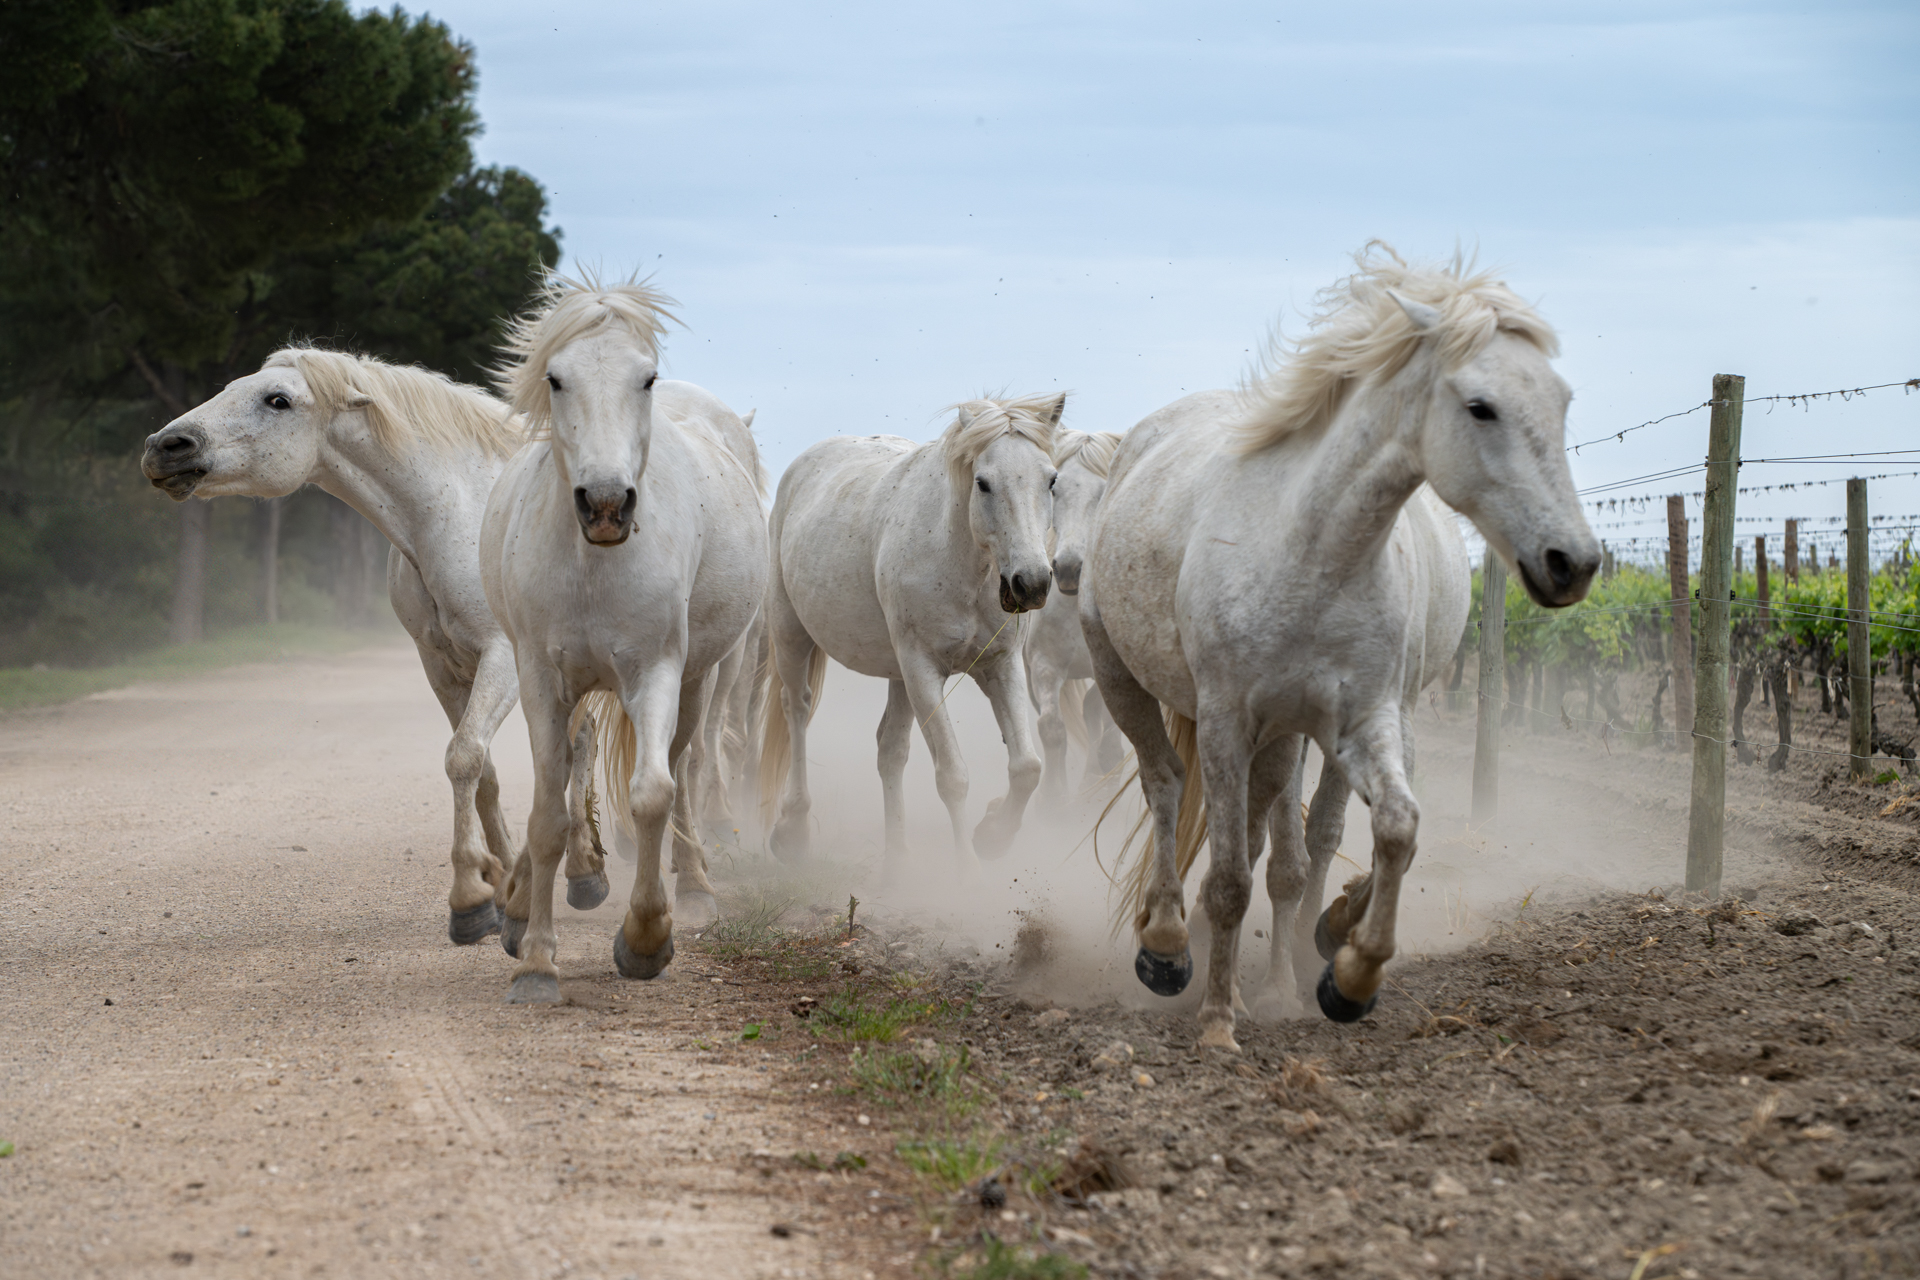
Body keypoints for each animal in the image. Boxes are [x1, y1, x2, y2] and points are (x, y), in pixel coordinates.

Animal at [138, 346, 604, 946]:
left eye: (277, 400)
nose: (164, 447)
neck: (457, 515)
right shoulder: (441, 667)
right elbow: (482, 772)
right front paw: (501, 892)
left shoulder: (502, 656)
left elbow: (464, 757)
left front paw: (471, 901)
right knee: (579, 745)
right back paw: (581, 874)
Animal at [482, 274, 767, 1003]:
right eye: (555, 378)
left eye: (647, 378)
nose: (607, 504)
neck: (593, 565)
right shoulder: (541, 681)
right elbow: (548, 816)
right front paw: (535, 959)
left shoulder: (656, 672)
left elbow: (652, 795)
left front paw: (644, 940)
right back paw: (520, 906)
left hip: (697, 680)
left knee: (686, 769)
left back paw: (693, 888)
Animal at [757, 395, 1063, 875]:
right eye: (983, 483)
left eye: (1051, 480)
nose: (1031, 583)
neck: (961, 564)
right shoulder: (923, 671)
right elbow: (953, 776)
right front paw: (969, 872)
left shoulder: (1001, 665)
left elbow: (1027, 767)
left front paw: (993, 836)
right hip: (792, 635)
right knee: (798, 712)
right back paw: (793, 831)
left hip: (896, 673)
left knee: (890, 750)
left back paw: (898, 863)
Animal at [1024, 429, 1128, 798]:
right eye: (1054, 488)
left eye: (1104, 490)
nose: (1069, 569)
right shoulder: (1044, 665)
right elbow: (1052, 727)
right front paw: (1051, 799)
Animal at [1086, 244, 1598, 1050]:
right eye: (1480, 406)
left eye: (1561, 401)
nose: (1571, 561)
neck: (1312, 551)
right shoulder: (1227, 720)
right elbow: (1228, 877)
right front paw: (1218, 1023)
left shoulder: (1361, 722)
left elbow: (1391, 828)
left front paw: (1348, 976)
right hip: (1120, 674)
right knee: (1165, 784)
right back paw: (1166, 947)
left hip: (1283, 737)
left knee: (1271, 838)